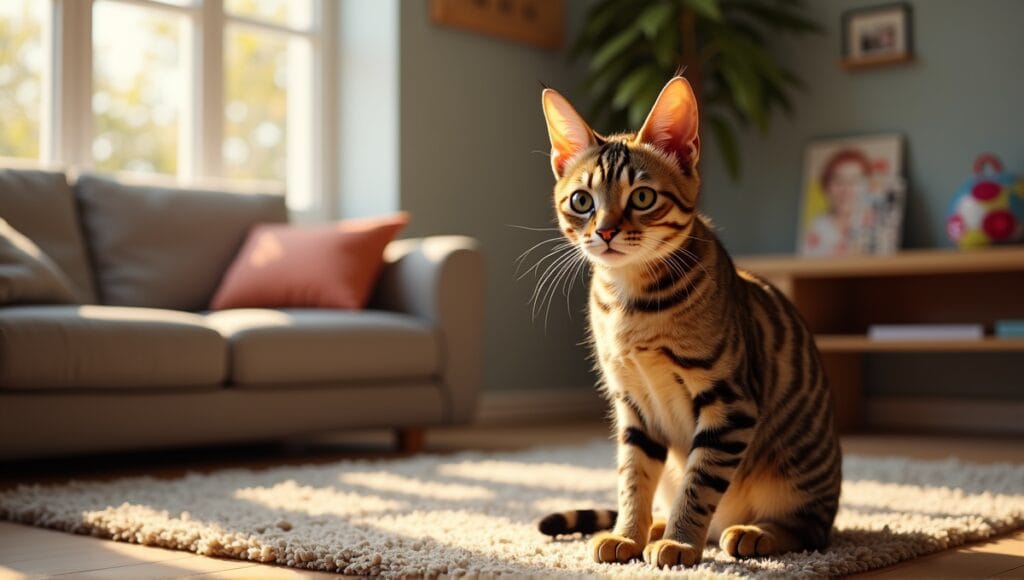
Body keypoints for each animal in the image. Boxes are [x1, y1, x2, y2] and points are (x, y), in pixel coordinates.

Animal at [536, 77, 839, 569]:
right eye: (582, 201)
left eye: (642, 197)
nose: (604, 231)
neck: (630, 304)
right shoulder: (633, 407)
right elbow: (633, 479)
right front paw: (629, 534)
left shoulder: (729, 402)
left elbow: (699, 484)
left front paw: (679, 542)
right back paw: (657, 526)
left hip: (796, 480)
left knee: (810, 530)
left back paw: (751, 532)